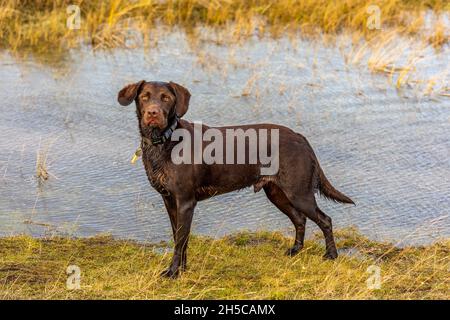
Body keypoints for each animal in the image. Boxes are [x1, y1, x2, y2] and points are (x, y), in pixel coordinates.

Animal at [117, 80, 356, 278]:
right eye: (144, 96)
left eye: (166, 98)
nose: (153, 113)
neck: (165, 142)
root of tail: (300, 138)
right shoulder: (169, 201)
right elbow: (179, 238)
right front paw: (183, 269)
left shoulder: (185, 202)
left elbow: (180, 240)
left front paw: (174, 272)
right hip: (277, 193)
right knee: (300, 219)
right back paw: (295, 250)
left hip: (299, 193)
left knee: (325, 220)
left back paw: (331, 255)